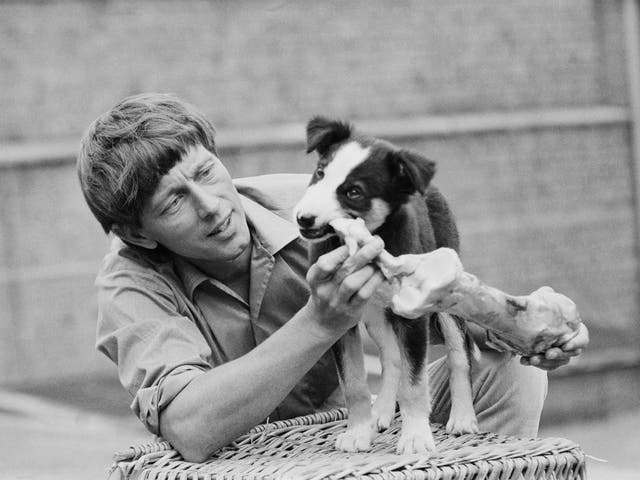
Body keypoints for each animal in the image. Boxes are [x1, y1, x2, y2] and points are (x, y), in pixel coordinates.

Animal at [292, 116, 478, 454]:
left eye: (354, 192)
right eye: (320, 173)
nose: (304, 218)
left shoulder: (414, 319)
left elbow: (415, 382)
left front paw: (416, 438)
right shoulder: (338, 318)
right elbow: (354, 382)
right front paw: (357, 432)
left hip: (444, 295)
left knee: (460, 354)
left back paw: (462, 418)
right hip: (377, 313)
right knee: (391, 357)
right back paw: (380, 413)